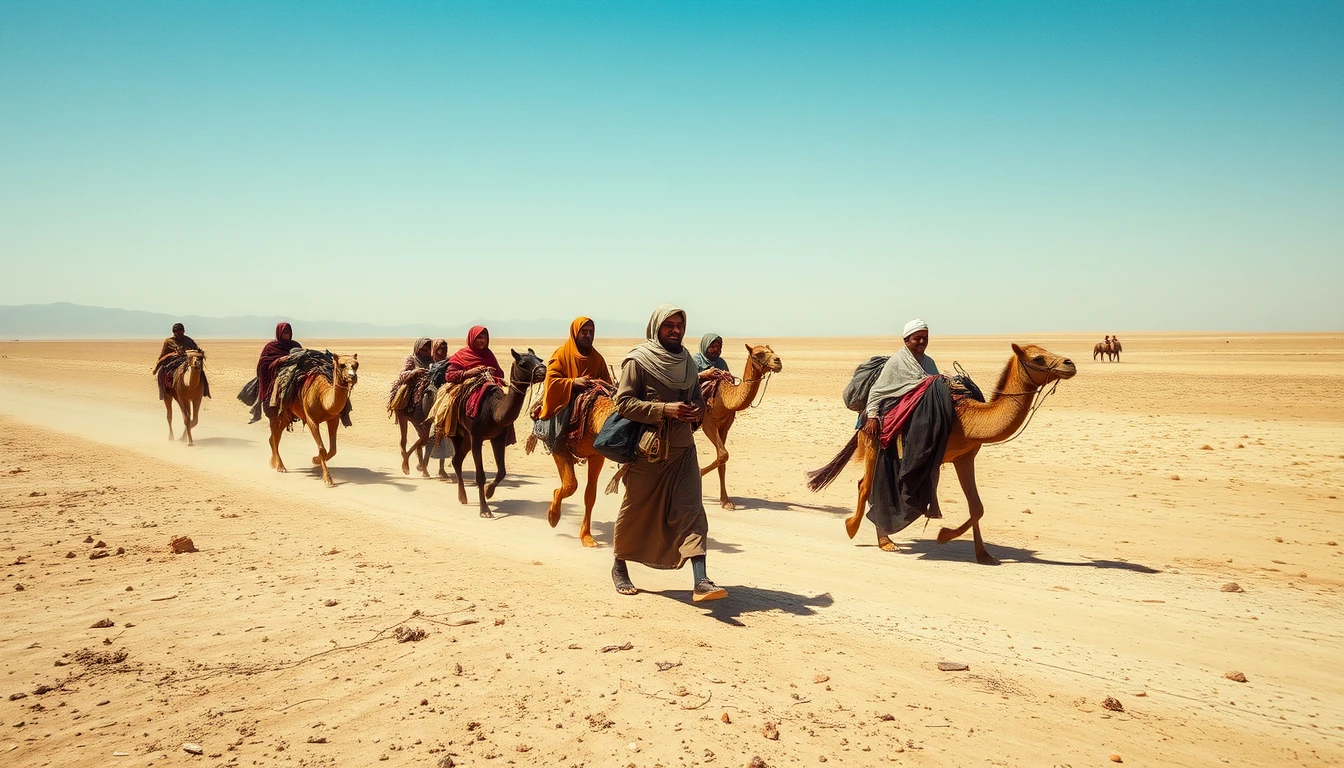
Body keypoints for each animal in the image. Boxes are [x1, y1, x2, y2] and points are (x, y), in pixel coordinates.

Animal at [267, 355, 360, 486]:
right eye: (341, 365)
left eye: (356, 365)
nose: (352, 376)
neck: (323, 397)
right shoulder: (311, 419)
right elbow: (322, 449)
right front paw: (328, 479)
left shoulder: (333, 419)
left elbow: (333, 450)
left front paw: (315, 460)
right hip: (277, 408)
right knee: (275, 435)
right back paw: (280, 466)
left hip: (288, 414)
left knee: (275, 435)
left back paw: (273, 462)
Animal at [698, 344, 784, 508]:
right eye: (759, 353)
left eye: (771, 350)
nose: (778, 361)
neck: (725, 397)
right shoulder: (707, 423)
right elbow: (723, 454)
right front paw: (698, 472)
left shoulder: (724, 426)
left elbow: (722, 457)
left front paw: (725, 501)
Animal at [806, 342, 1080, 564]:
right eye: (1038, 358)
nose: (1070, 363)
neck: (970, 419)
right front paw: (944, 535)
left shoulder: (965, 457)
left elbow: (976, 506)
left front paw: (983, 555)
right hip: (873, 438)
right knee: (866, 484)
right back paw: (861, 531)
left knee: (870, 484)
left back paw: (884, 539)